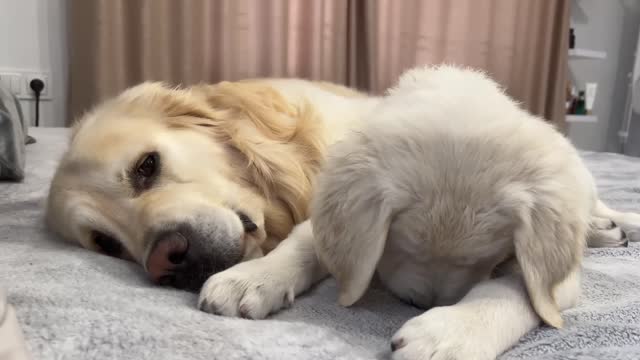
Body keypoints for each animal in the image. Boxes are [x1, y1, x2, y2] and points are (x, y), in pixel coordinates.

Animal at [46, 65, 640, 360]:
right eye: (107, 245)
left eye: (146, 166)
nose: (167, 259)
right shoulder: (340, 200)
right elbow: (311, 240)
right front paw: (253, 279)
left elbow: (517, 288)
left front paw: (450, 332)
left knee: (594, 204)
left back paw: (610, 225)